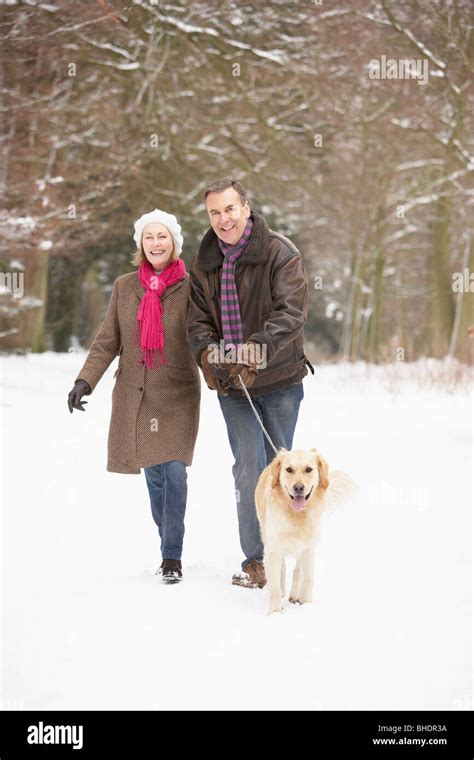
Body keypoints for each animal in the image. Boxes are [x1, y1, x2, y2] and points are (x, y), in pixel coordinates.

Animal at [258, 448, 354, 616]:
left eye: (309, 469)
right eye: (289, 469)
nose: (298, 488)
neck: (297, 515)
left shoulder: (309, 547)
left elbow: (308, 577)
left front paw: (306, 603)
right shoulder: (273, 548)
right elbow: (275, 582)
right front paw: (275, 611)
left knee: (298, 571)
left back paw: (294, 594)